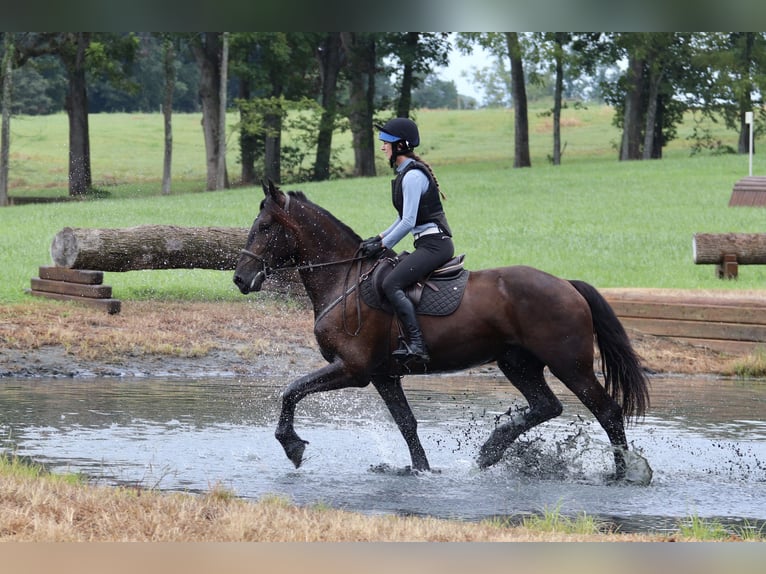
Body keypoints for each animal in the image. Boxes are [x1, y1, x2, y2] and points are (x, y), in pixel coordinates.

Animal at [234, 184, 656, 482]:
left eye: (265, 228)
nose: (240, 278)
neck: (344, 279)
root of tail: (567, 284)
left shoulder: (353, 370)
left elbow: (292, 391)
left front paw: (292, 445)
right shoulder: (383, 376)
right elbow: (407, 425)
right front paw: (421, 470)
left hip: (570, 365)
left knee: (607, 411)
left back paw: (622, 474)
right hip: (517, 363)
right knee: (546, 406)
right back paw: (491, 450)